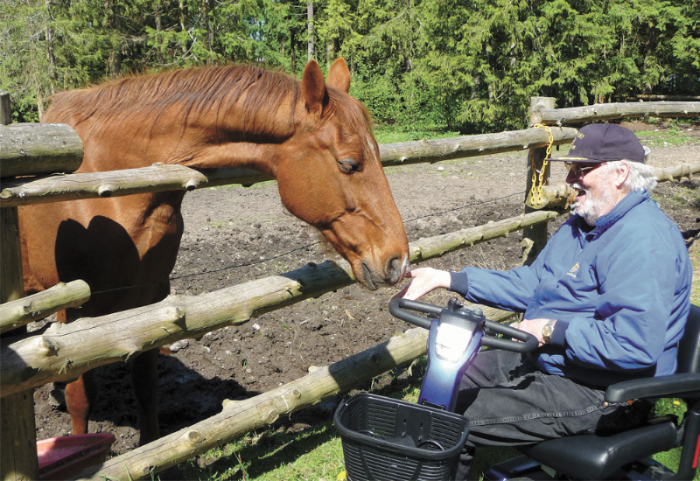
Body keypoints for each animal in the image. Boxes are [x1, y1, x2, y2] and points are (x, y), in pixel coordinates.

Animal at [17, 58, 410, 444]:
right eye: (348, 164)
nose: (398, 261)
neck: (112, 181)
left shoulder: (148, 301)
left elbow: (146, 389)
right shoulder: (74, 312)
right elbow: (80, 398)